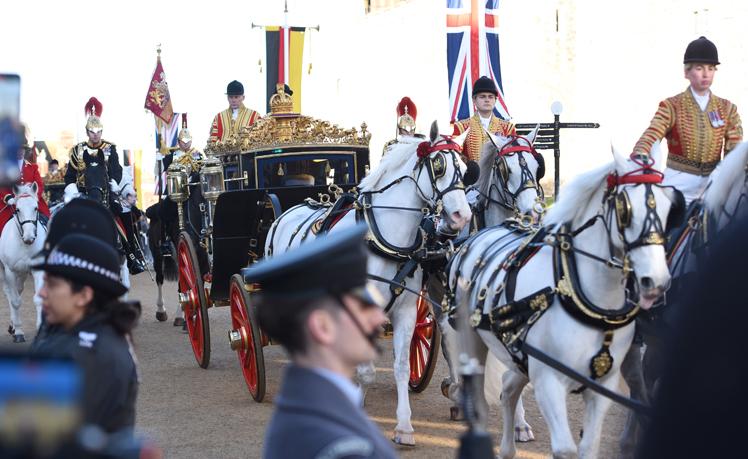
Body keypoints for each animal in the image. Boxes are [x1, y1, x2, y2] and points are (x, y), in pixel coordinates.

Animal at [0, 183, 46, 343]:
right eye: (18, 209)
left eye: (36, 208)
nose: (29, 237)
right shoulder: (10, 271)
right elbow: (15, 301)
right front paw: (19, 332)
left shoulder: (38, 270)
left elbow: (38, 299)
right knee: (10, 294)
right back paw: (14, 327)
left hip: (23, 273)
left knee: (19, 290)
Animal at [266, 121, 473, 446]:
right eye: (438, 165)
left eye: (464, 168)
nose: (461, 216)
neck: (381, 238)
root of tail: (287, 212)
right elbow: (365, 371)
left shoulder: (405, 312)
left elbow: (401, 367)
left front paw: (404, 426)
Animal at [447, 142, 678, 458]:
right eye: (624, 209)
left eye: (669, 208)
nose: (655, 281)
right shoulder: (548, 380)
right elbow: (566, 449)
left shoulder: (602, 386)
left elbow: (589, 447)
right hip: (473, 341)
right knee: (481, 401)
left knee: (508, 387)